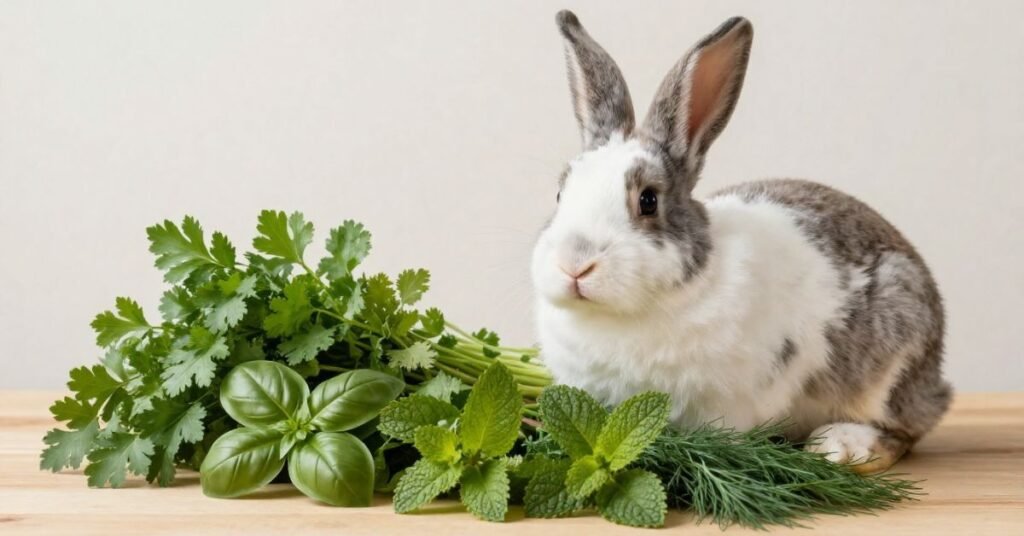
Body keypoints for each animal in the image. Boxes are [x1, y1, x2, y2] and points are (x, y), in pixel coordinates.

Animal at [531, 10, 951, 473]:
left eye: (648, 201)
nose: (575, 264)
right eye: (559, 194)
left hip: (894, 356)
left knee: (907, 429)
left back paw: (841, 445)